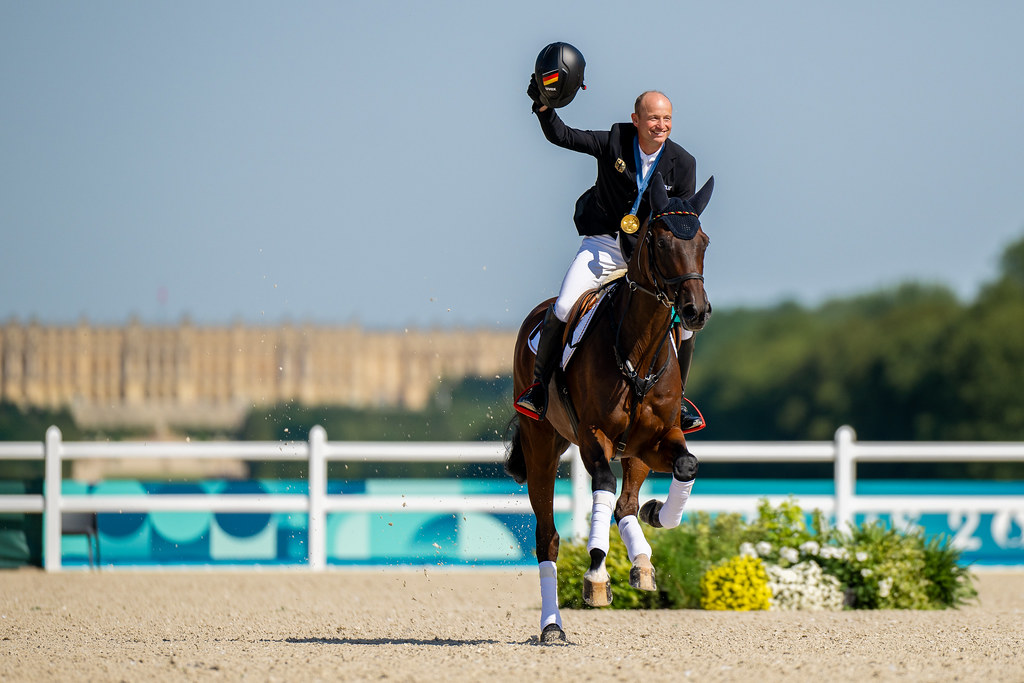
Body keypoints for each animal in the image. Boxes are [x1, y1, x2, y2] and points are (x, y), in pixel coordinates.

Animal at [503, 174, 712, 643]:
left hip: (633, 451)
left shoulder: (657, 438)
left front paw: (658, 516)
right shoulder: (591, 436)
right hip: (542, 445)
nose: (695, 311)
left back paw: (643, 560)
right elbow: (601, 483)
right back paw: (552, 626)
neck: (639, 350)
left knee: (626, 505)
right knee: (549, 537)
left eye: (704, 242)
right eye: (661, 241)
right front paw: (597, 575)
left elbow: (684, 467)